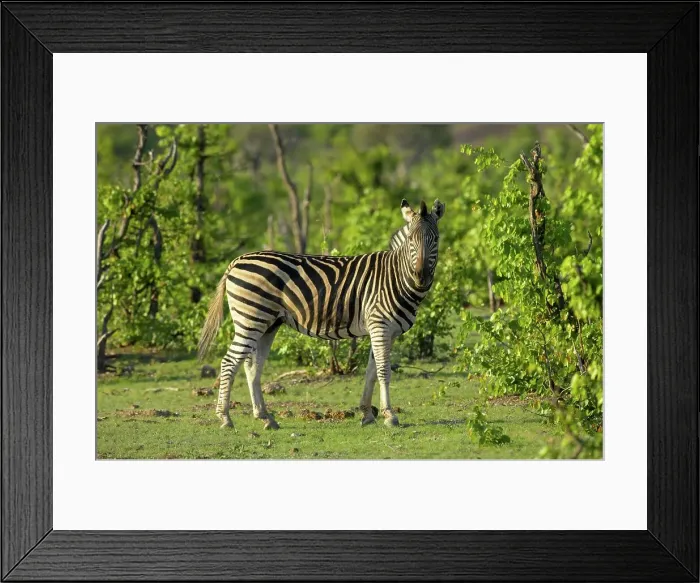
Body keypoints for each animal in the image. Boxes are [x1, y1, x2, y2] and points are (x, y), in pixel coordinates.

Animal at [198, 198, 445, 430]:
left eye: (435, 239)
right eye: (411, 240)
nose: (421, 277)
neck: (396, 276)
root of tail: (236, 261)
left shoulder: (387, 332)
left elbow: (371, 372)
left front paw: (367, 414)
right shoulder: (379, 326)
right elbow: (384, 371)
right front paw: (390, 416)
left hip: (268, 323)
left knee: (252, 367)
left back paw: (266, 418)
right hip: (250, 318)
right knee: (229, 362)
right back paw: (225, 418)